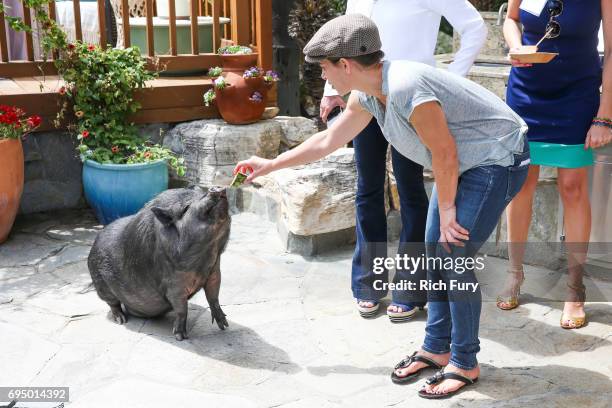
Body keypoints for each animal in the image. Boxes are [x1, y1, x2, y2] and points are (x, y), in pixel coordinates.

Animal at [90, 186, 232, 340]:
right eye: (186, 208)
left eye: (201, 193)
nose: (216, 188)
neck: (204, 257)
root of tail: (94, 244)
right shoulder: (173, 285)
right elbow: (182, 309)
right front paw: (180, 337)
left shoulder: (214, 271)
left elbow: (214, 296)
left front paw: (225, 326)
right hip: (101, 285)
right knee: (113, 304)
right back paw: (121, 320)